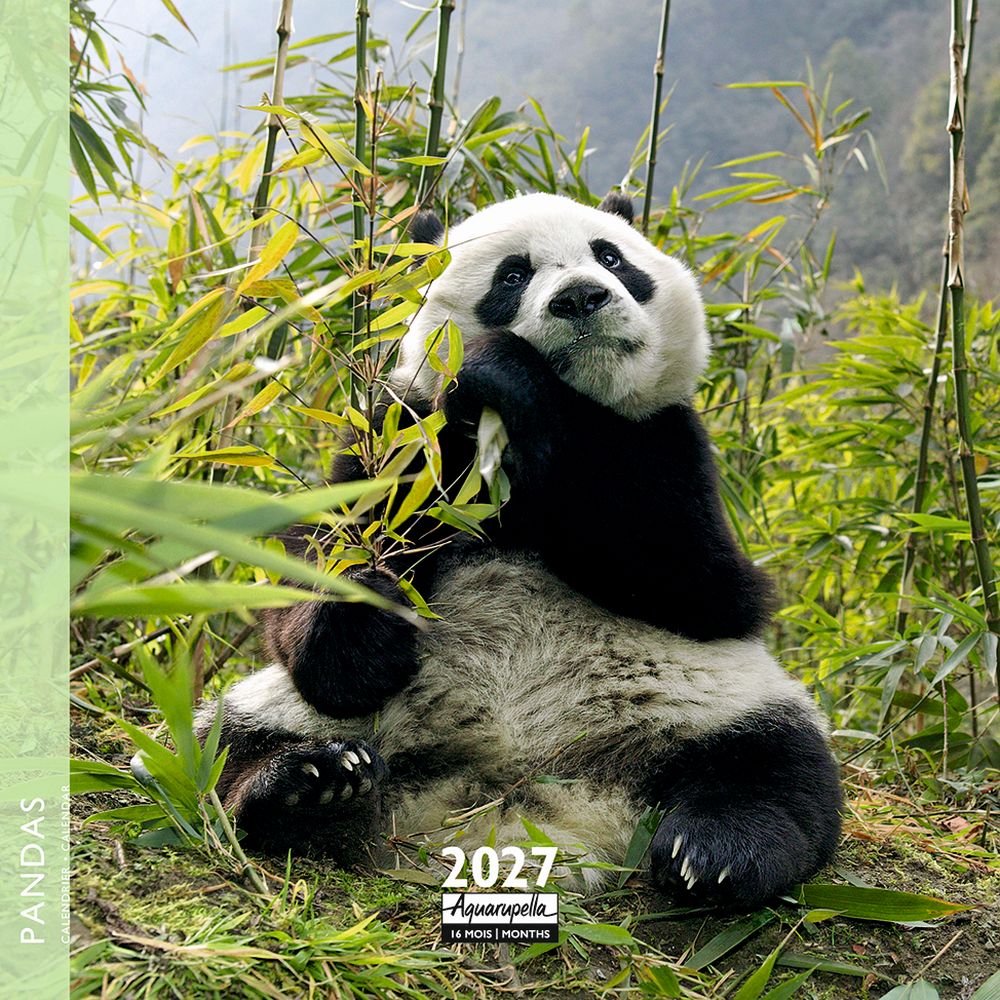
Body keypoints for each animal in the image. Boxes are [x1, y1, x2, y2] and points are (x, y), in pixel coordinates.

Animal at [198, 191, 842, 909]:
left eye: (610, 257)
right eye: (512, 275)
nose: (582, 298)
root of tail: (514, 794)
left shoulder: (672, 441)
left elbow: (698, 579)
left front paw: (509, 373)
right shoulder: (402, 432)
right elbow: (319, 549)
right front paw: (361, 642)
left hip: (703, 700)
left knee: (775, 762)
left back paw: (717, 850)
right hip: (309, 711)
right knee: (224, 742)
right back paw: (308, 783)